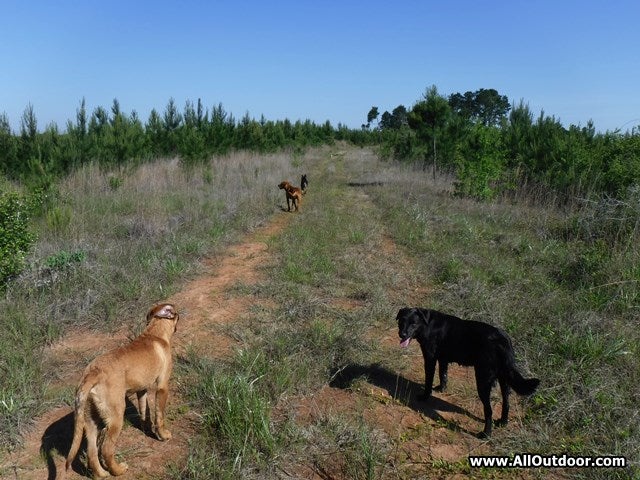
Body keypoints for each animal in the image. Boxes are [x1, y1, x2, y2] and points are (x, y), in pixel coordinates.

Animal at [64, 304, 179, 476]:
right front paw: (163, 435)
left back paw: (101, 474)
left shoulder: (142, 390)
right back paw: (118, 470)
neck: (155, 333)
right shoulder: (162, 386)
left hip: (90, 420)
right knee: (106, 449)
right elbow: (159, 416)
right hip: (116, 417)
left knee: (92, 451)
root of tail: (93, 373)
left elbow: (145, 411)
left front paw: (146, 429)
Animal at [396, 308, 540, 438]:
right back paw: (503, 422)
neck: (428, 323)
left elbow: (429, 380)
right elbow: (443, 375)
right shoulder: (443, 359)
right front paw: (441, 389)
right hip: (505, 380)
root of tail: (504, 341)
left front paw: (425, 396)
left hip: (483, 381)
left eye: (413, 323)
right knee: (506, 402)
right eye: (402, 321)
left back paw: (486, 434)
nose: (402, 334)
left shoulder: (430, 358)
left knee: (488, 410)